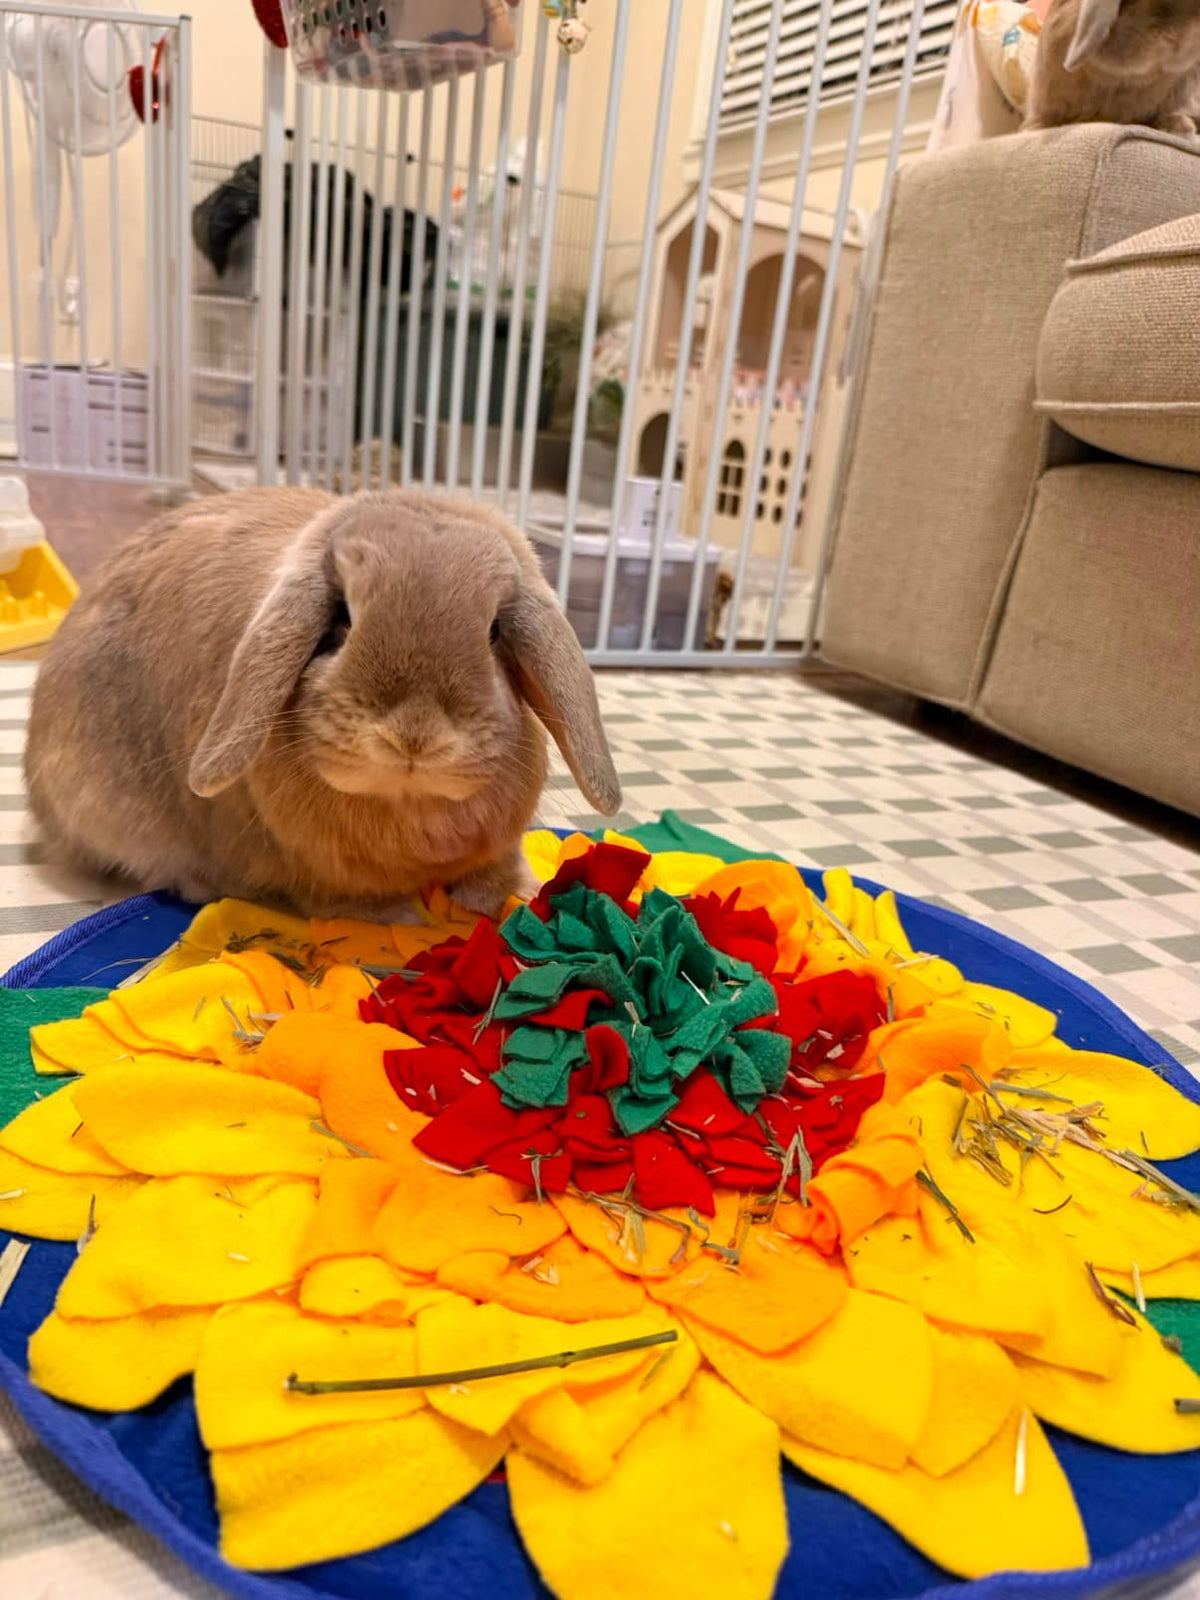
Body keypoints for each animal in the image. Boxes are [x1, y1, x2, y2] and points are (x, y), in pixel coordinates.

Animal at [25, 487, 621, 921]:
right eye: (342, 619)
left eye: (495, 631)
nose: (413, 735)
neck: (409, 812)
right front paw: (399, 917)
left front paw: (509, 891)